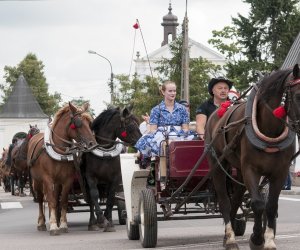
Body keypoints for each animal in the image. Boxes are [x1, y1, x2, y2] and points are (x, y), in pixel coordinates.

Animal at [27, 102, 96, 235]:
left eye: (90, 123)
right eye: (78, 123)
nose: (92, 144)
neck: (59, 151)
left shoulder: (67, 180)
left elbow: (63, 201)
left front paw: (63, 224)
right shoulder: (48, 179)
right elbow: (51, 201)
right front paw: (54, 226)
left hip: (58, 182)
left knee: (56, 197)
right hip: (37, 181)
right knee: (41, 199)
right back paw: (41, 223)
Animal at [205, 65, 300, 250]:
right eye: (298, 95)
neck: (270, 131)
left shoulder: (280, 172)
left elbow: (271, 206)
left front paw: (268, 240)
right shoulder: (250, 169)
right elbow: (257, 204)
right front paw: (256, 239)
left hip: (239, 172)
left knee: (235, 201)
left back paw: (228, 236)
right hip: (218, 164)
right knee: (224, 201)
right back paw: (231, 239)